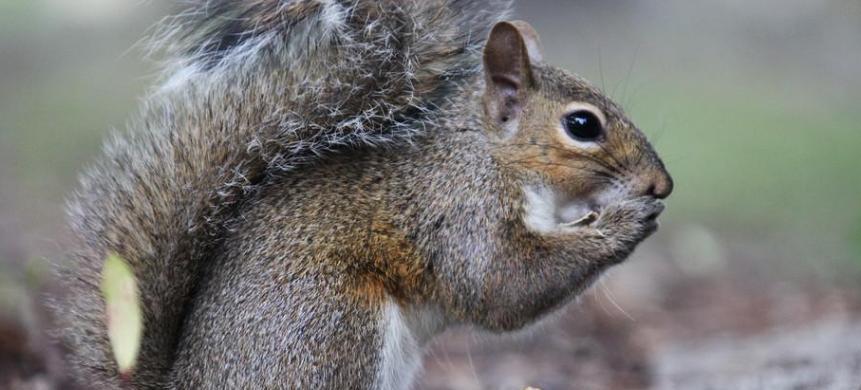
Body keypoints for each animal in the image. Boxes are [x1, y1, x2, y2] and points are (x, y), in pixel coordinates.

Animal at [52, 1, 672, 388]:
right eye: (582, 125)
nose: (662, 184)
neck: (489, 155)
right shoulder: (457, 206)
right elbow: (500, 285)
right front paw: (622, 222)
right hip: (333, 328)